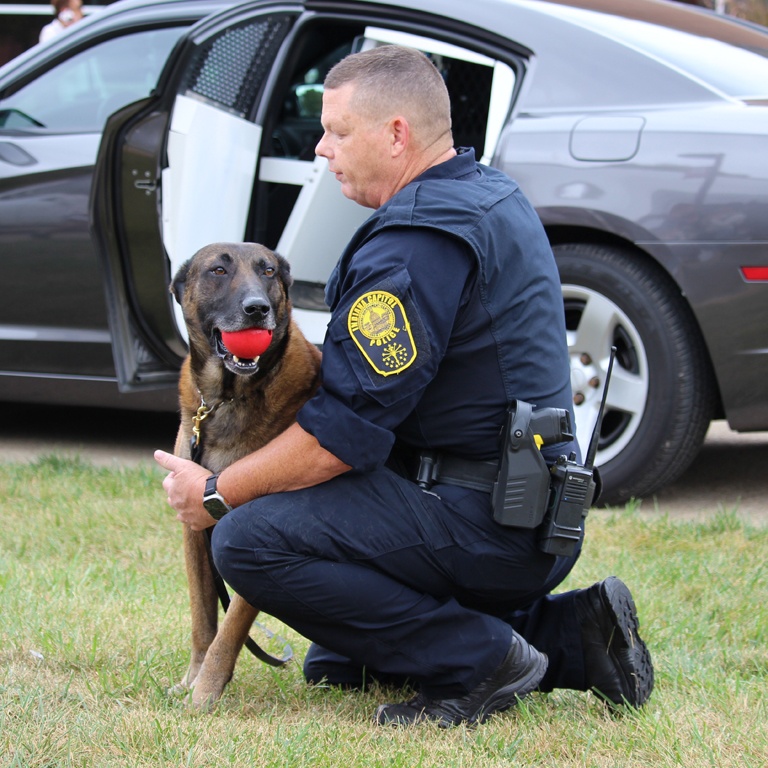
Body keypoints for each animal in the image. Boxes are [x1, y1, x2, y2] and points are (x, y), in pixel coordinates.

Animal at [171, 242, 320, 708]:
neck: (226, 398)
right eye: (218, 270)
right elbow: (203, 618)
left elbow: (231, 626)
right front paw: (192, 678)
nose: (257, 309)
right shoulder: (194, 530)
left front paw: (205, 692)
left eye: (268, 271)